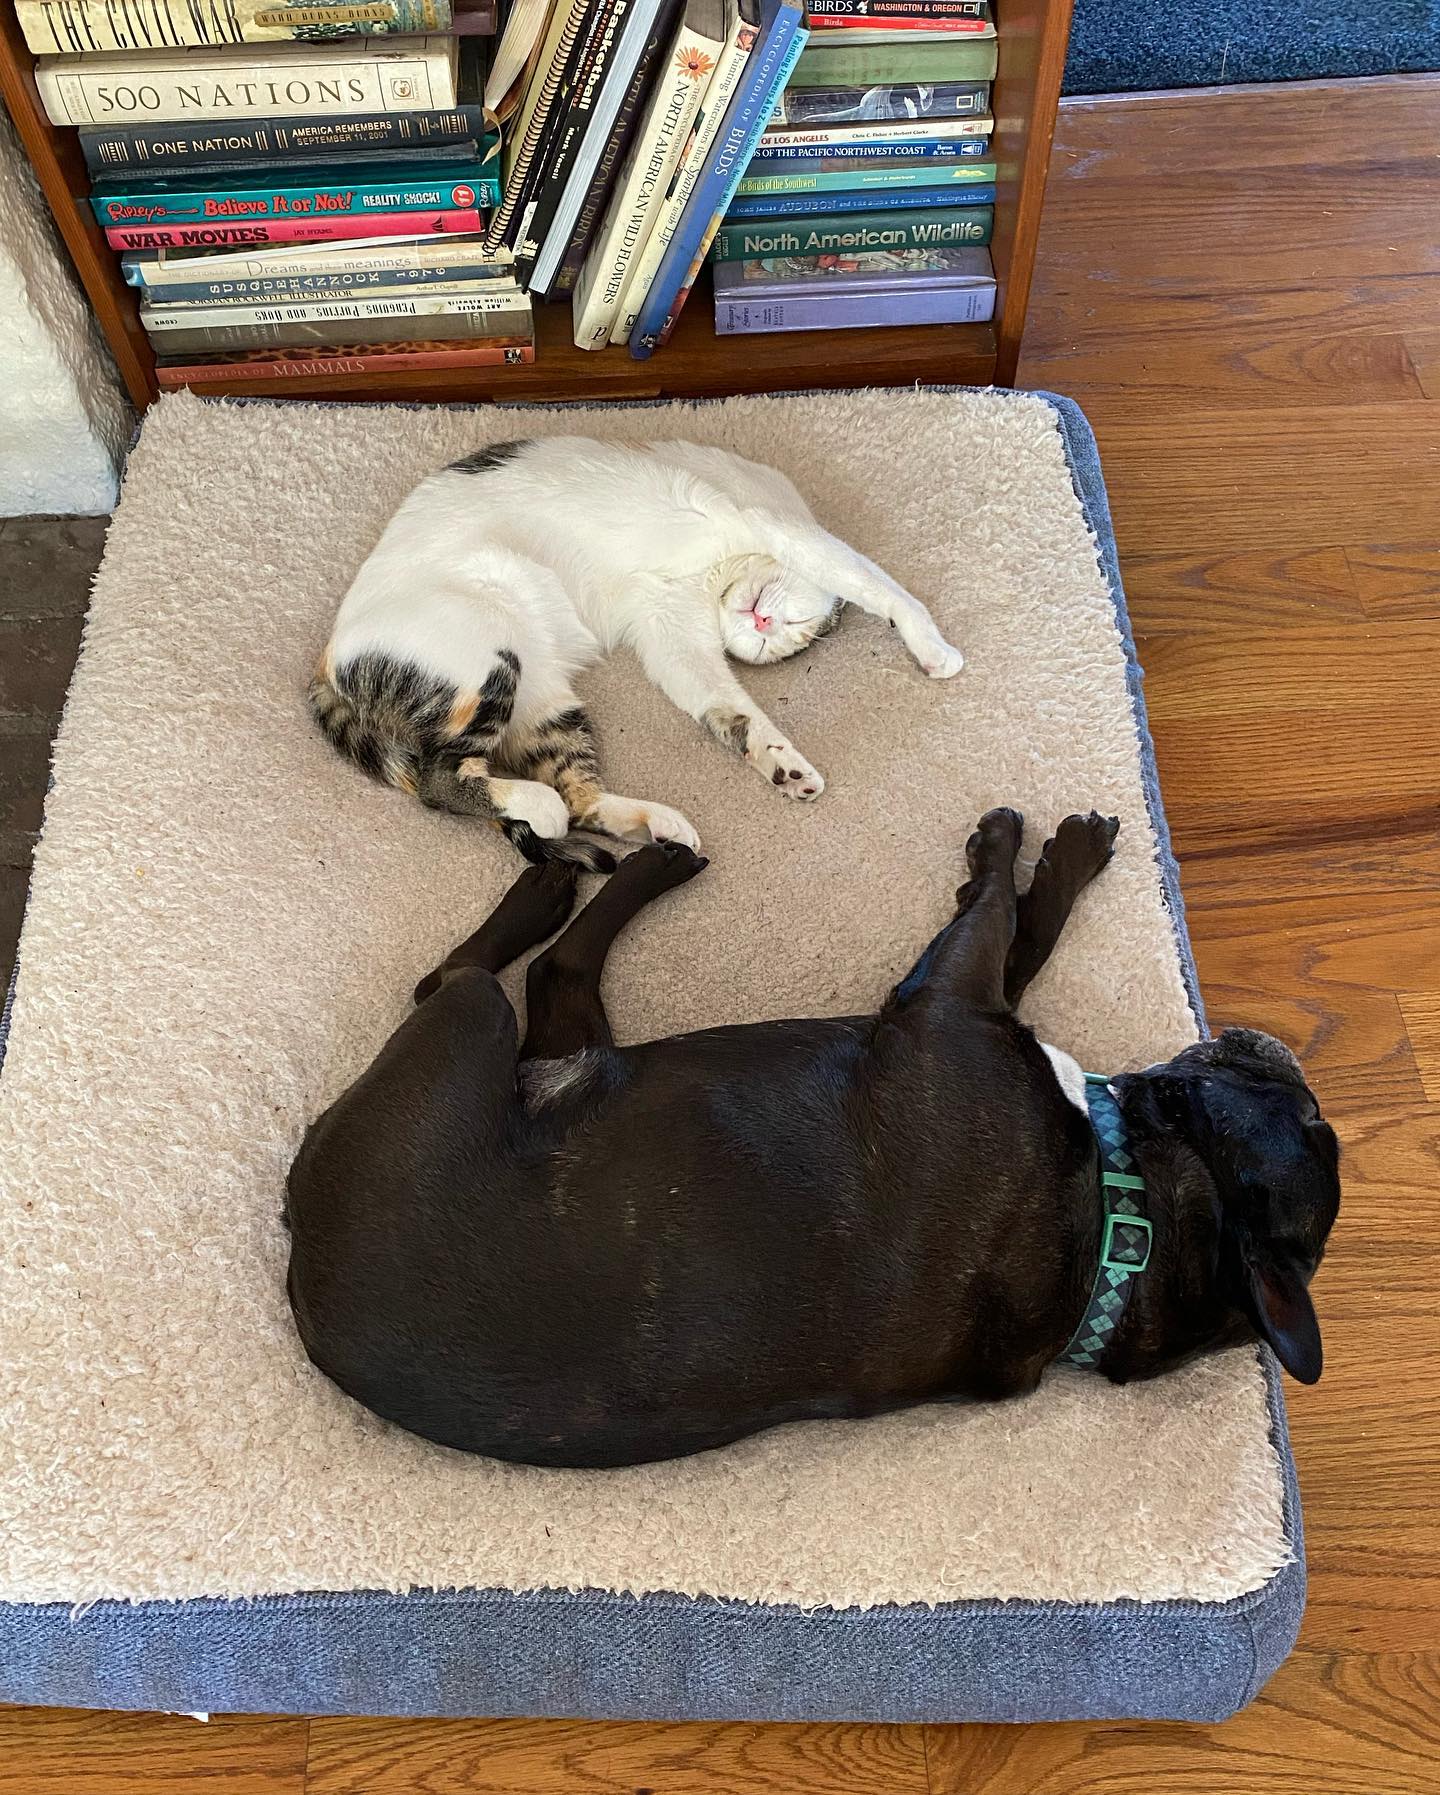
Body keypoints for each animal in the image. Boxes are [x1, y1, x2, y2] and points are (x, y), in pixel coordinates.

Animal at [285, 809, 1341, 1469]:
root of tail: (297, 1255)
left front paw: (1009, 844)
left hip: (476, 1024)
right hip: (550, 1041)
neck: (1119, 1227)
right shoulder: (969, 997)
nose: (1282, 1054)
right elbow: (1020, 931)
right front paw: (1064, 860)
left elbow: (993, 912)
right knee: (550, 971)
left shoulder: (941, 996)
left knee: (484, 971)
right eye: (1319, 1127)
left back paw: (581, 881)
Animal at [310, 435, 965, 871]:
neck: (713, 580)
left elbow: (732, 710)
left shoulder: (671, 633)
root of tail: (329, 662)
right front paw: (934, 648)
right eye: (793, 626)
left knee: (579, 798)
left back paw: (655, 824)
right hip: (491, 654)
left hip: (546, 700)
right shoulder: (775, 524)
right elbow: (877, 584)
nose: (763, 622)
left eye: (780, 640)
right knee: (441, 780)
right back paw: (536, 804)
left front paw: (784, 767)